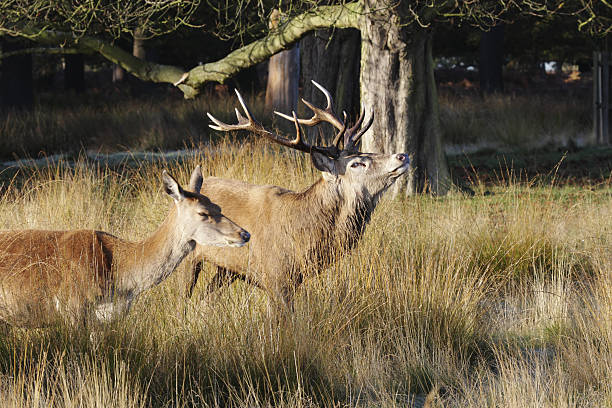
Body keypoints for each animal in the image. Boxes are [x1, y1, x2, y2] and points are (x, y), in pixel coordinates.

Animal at [184, 80, 408, 310]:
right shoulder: (276, 276)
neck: (303, 236)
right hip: (188, 255)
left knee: (205, 297)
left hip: (227, 269)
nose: (402, 155)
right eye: (356, 163)